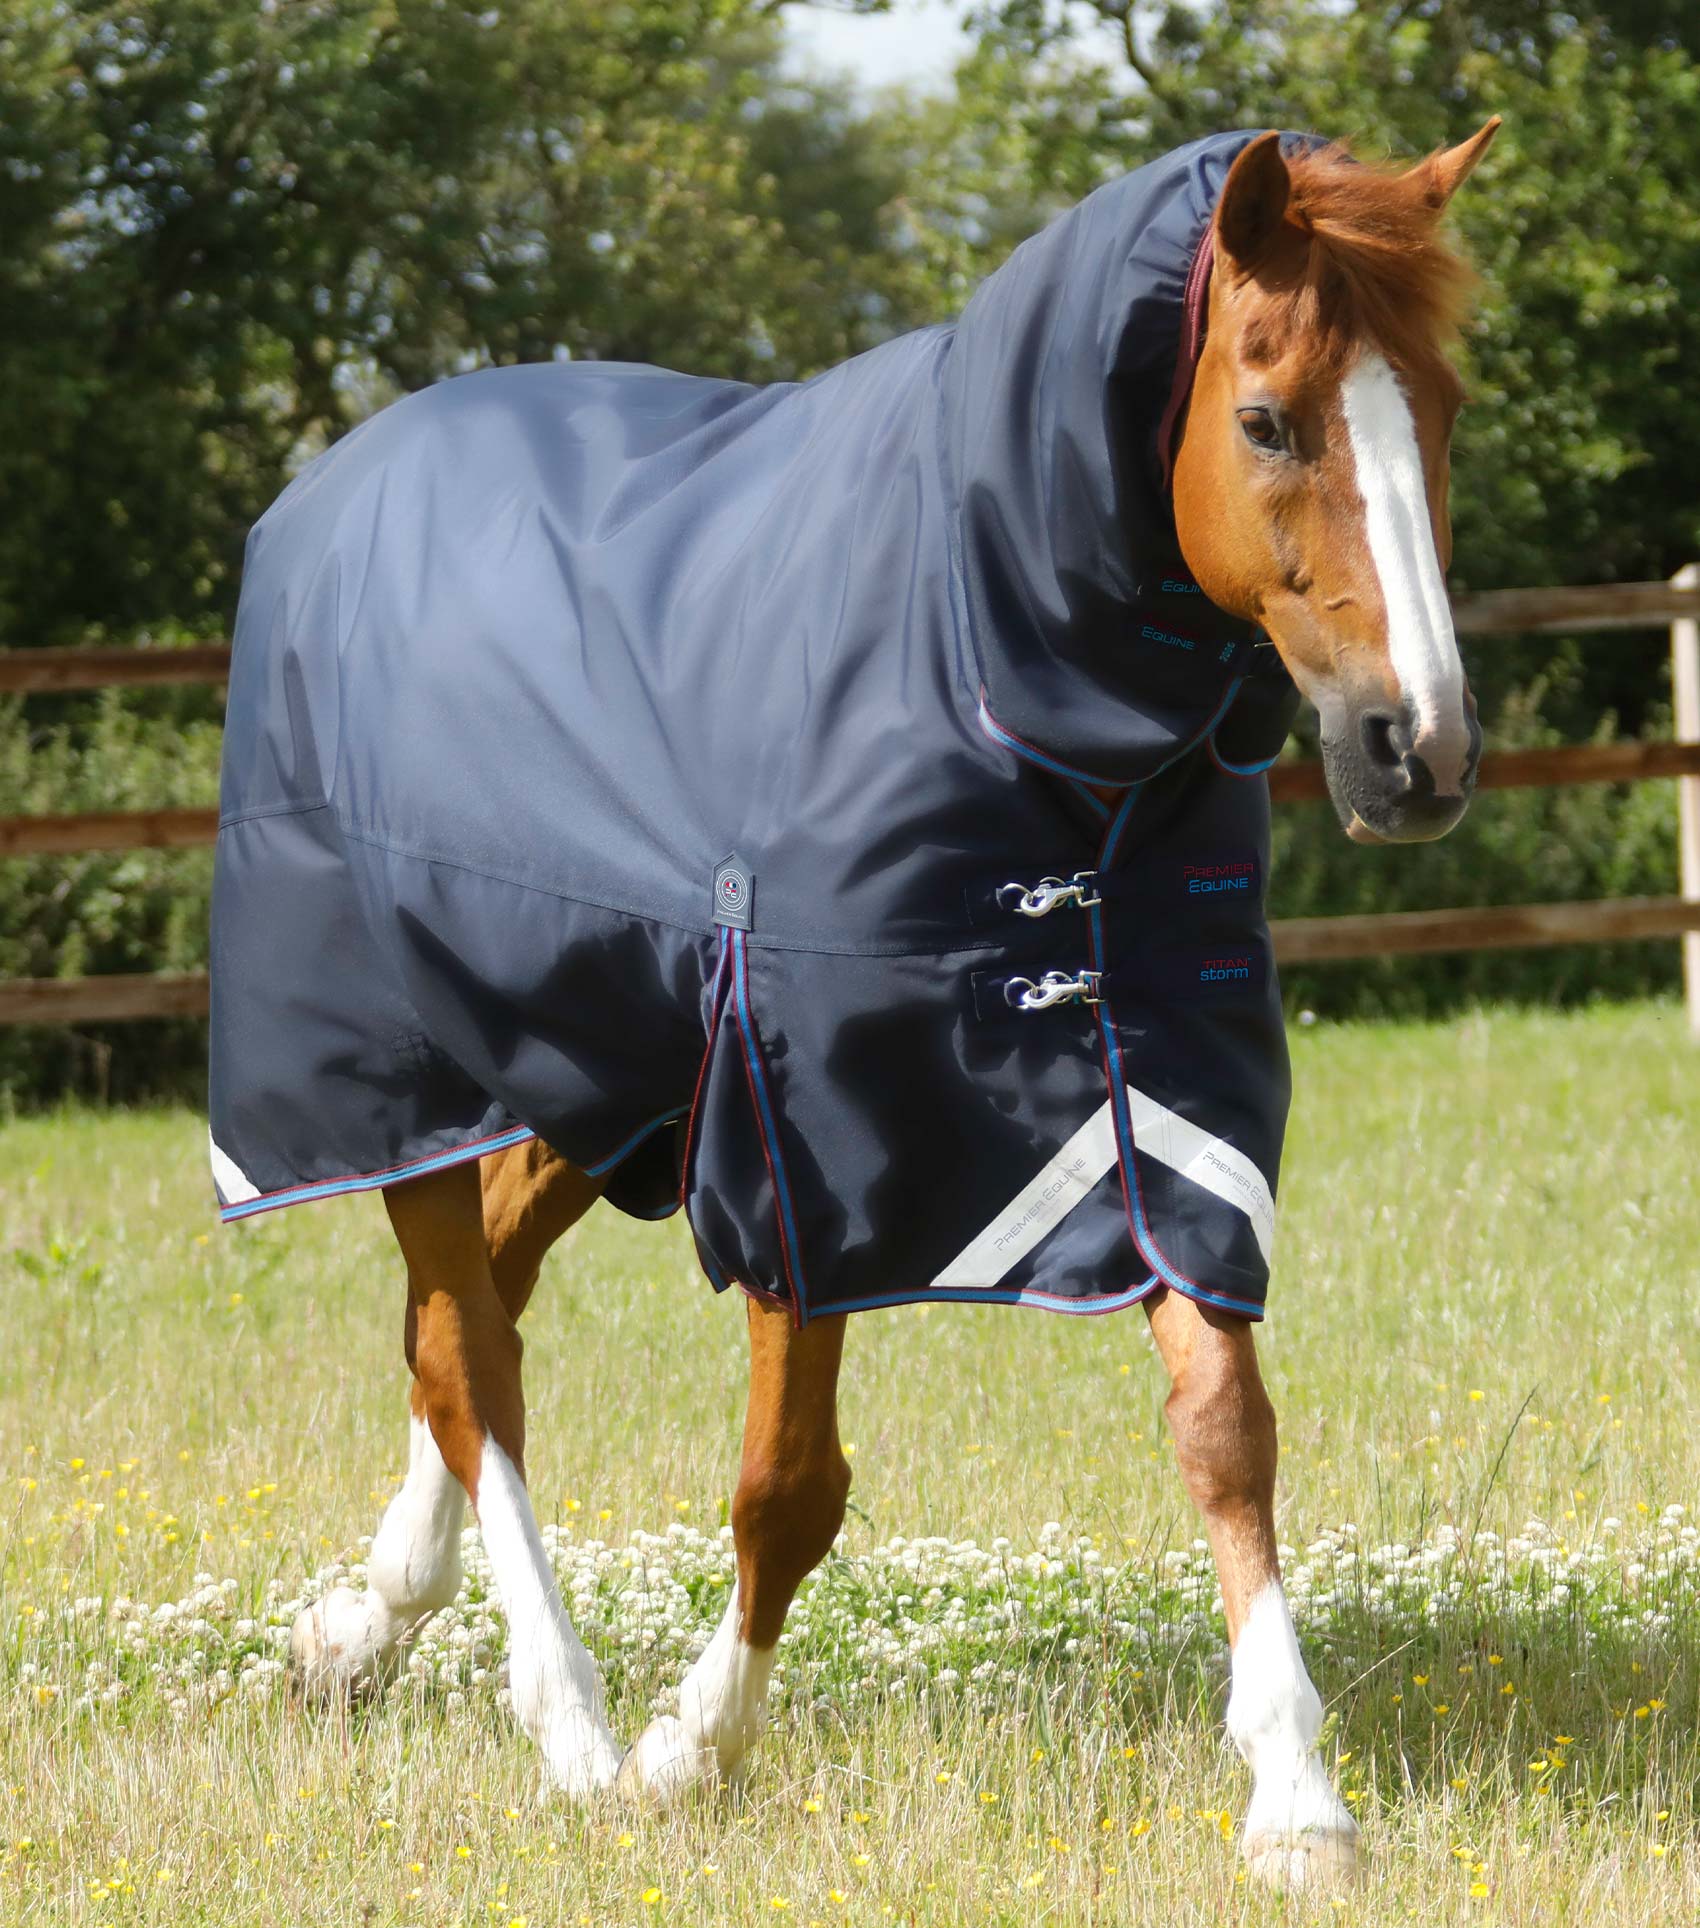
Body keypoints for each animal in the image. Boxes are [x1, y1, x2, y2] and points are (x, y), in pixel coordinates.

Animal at [210, 120, 1499, 1889]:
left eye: (1438, 409)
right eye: (1266, 419)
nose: (1416, 752)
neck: (989, 664)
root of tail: (330, 488)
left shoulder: (1159, 1093)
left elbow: (1226, 1428)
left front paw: (1298, 1797)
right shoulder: (804, 1132)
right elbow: (789, 1485)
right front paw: (690, 1749)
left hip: (593, 1070)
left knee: (467, 1313)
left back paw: (363, 1629)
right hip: (406, 1075)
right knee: (472, 1354)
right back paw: (570, 1725)